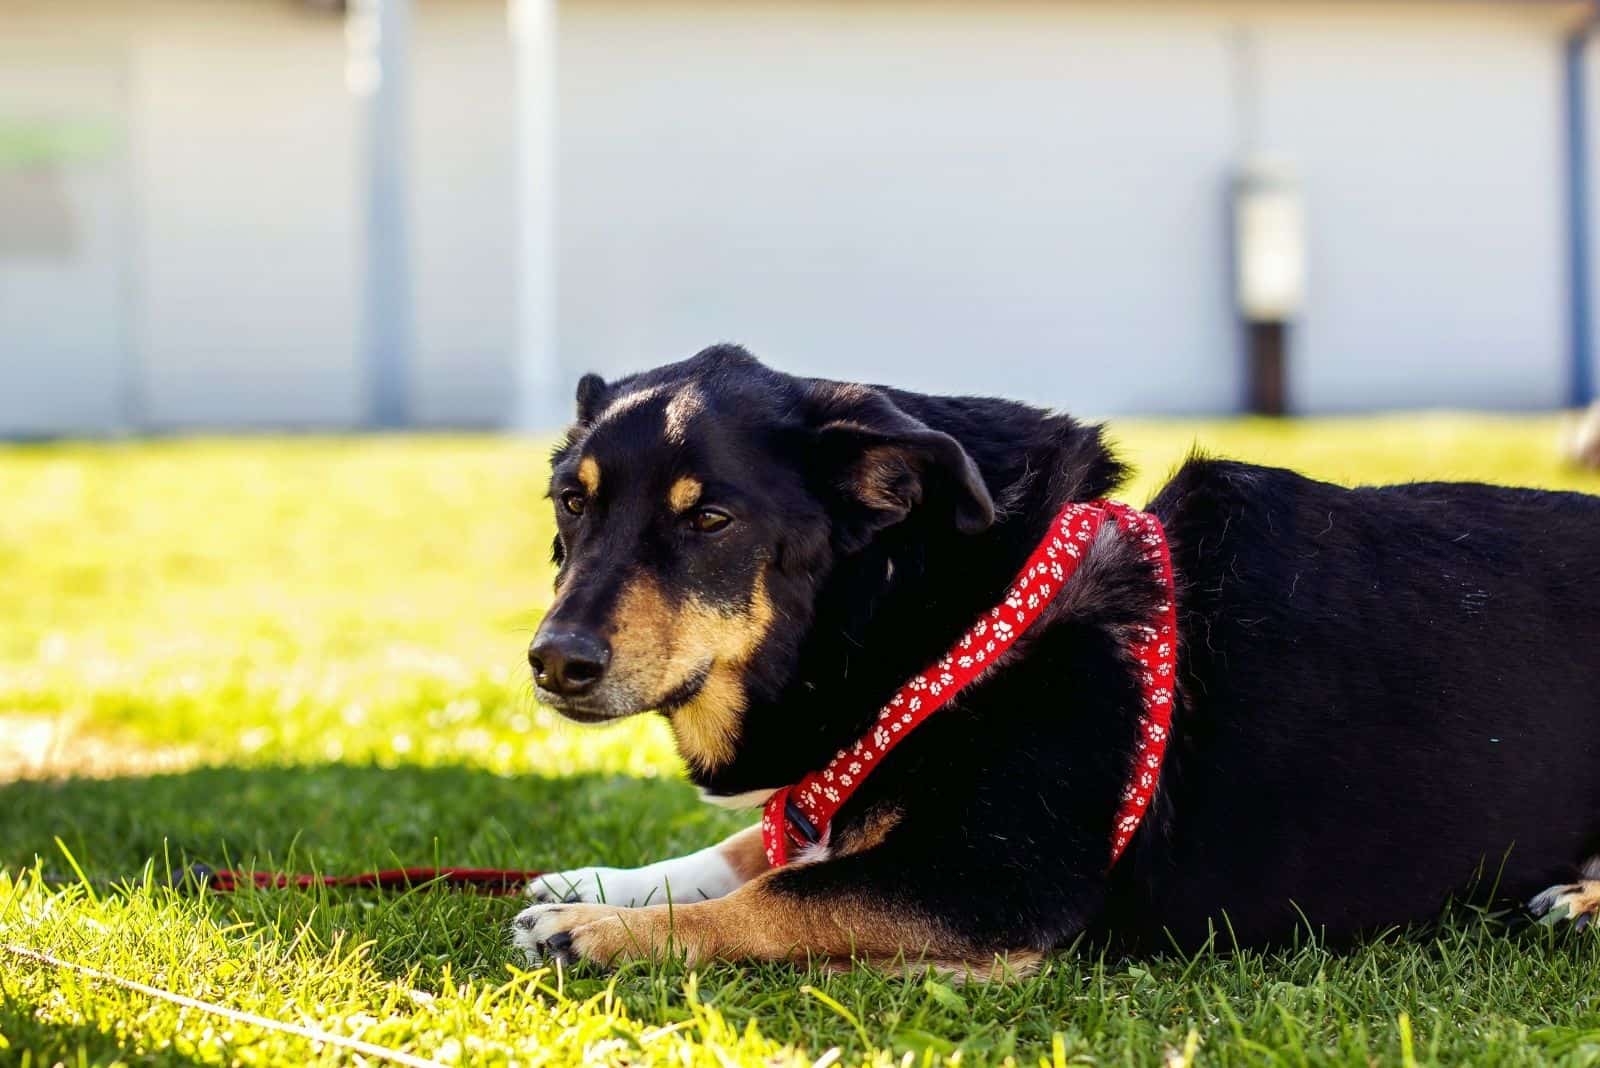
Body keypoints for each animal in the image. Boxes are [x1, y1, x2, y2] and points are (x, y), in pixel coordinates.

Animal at [512, 346, 1600, 972]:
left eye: (711, 519)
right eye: (572, 499)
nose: (555, 661)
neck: (944, 620)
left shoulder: (992, 882)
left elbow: (783, 894)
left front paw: (604, 934)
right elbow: (751, 849)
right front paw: (602, 884)